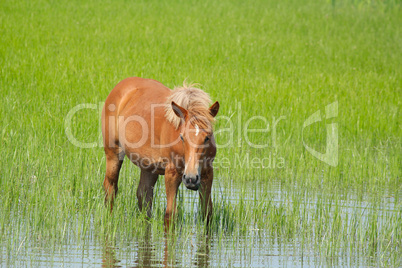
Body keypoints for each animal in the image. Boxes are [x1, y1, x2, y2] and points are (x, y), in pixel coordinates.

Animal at [100, 77, 220, 226]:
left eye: (207, 137)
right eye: (182, 137)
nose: (191, 179)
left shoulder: (207, 173)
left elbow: (207, 213)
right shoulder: (171, 174)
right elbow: (170, 214)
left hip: (148, 167)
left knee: (144, 195)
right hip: (113, 154)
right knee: (110, 188)